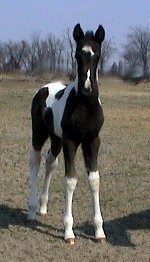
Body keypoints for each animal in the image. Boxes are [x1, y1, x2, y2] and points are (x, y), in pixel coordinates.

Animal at [27, 23, 105, 245]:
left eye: (97, 55)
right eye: (78, 54)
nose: (87, 87)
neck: (85, 106)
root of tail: (44, 87)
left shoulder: (92, 141)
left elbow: (94, 179)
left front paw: (99, 231)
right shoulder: (71, 141)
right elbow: (70, 180)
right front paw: (69, 232)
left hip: (56, 138)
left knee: (50, 162)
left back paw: (43, 207)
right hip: (39, 134)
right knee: (35, 162)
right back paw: (32, 210)